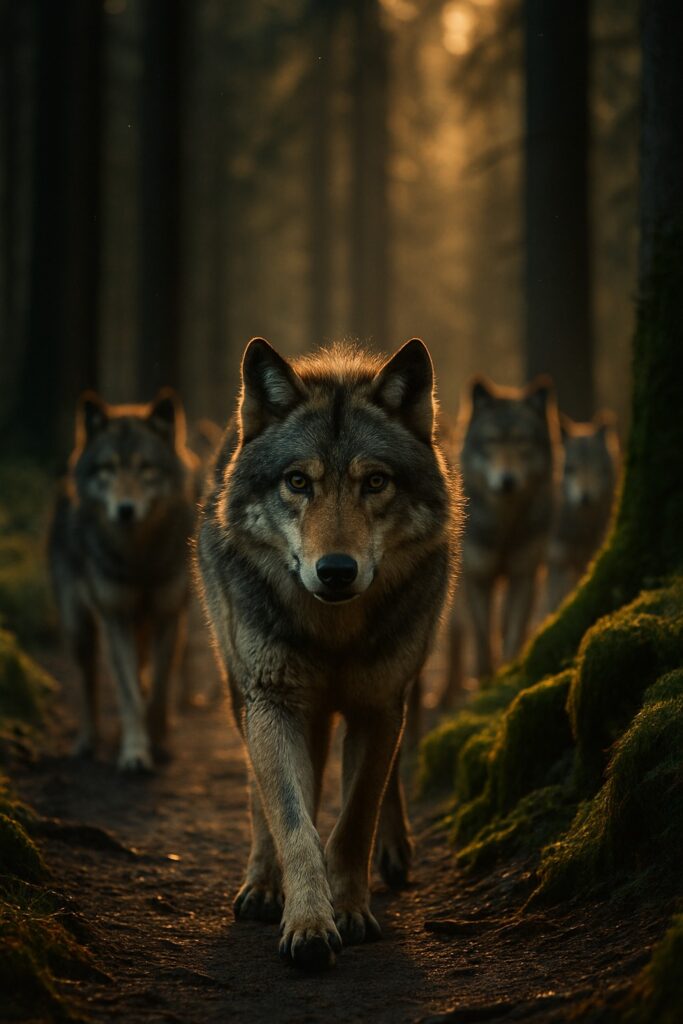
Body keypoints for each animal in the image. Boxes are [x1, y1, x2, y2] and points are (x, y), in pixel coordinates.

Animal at [49, 390, 197, 772]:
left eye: (146, 468)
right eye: (108, 468)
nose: (125, 509)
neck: (139, 558)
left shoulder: (169, 615)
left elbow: (159, 686)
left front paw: (156, 740)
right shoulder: (116, 617)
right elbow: (129, 692)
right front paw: (134, 752)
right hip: (80, 627)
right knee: (88, 683)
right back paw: (87, 741)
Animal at [197, 337, 461, 971]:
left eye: (375, 482)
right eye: (298, 482)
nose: (336, 570)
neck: (334, 630)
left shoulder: (380, 705)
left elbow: (355, 816)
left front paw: (351, 911)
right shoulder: (274, 702)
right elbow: (294, 821)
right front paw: (310, 923)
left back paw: (394, 852)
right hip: (244, 692)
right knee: (263, 789)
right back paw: (263, 883)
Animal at [441, 375, 558, 697]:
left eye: (522, 443)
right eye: (492, 442)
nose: (508, 480)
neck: (504, 527)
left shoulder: (524, 574)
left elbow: (513, 630)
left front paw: (508, 673)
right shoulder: (477, 578)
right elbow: (483, 637)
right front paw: (485, 681)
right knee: (455, 635)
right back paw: (449, 691)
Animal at [546, 412, 619, 610]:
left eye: (595, 467)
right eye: (572, 468)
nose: (585, 497)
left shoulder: (587, 557)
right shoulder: (557, 562)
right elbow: (553, 601)